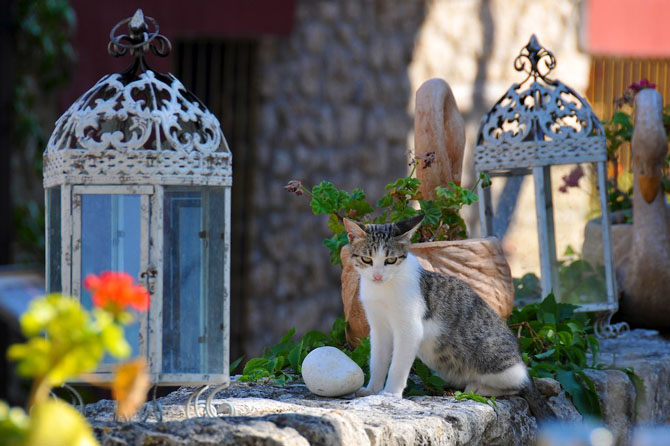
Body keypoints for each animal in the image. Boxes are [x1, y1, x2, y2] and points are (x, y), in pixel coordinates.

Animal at [344, 214, 552, 420]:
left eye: (391, 260)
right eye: (367, 259)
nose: (377, 276)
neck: (384, 288)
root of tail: (521, 363)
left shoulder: (410, 328)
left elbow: (398, 365)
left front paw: (390, 394)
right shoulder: (378, 327)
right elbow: (377, 360)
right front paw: (372, 390)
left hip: (493, 361)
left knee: (518, 387)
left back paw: (478, 387)